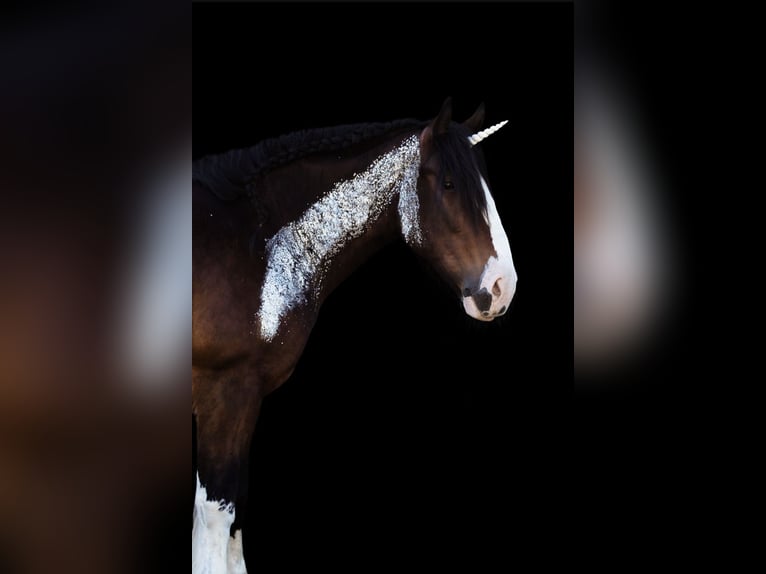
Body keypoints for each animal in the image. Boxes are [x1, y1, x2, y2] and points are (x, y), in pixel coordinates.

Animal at [192, 98, 517, 573]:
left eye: (489, 188)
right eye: (450, 183)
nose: (501, 287)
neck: (256, 242)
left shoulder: (244, 398)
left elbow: (237, 511)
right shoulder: (225, 390)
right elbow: (216, 514)